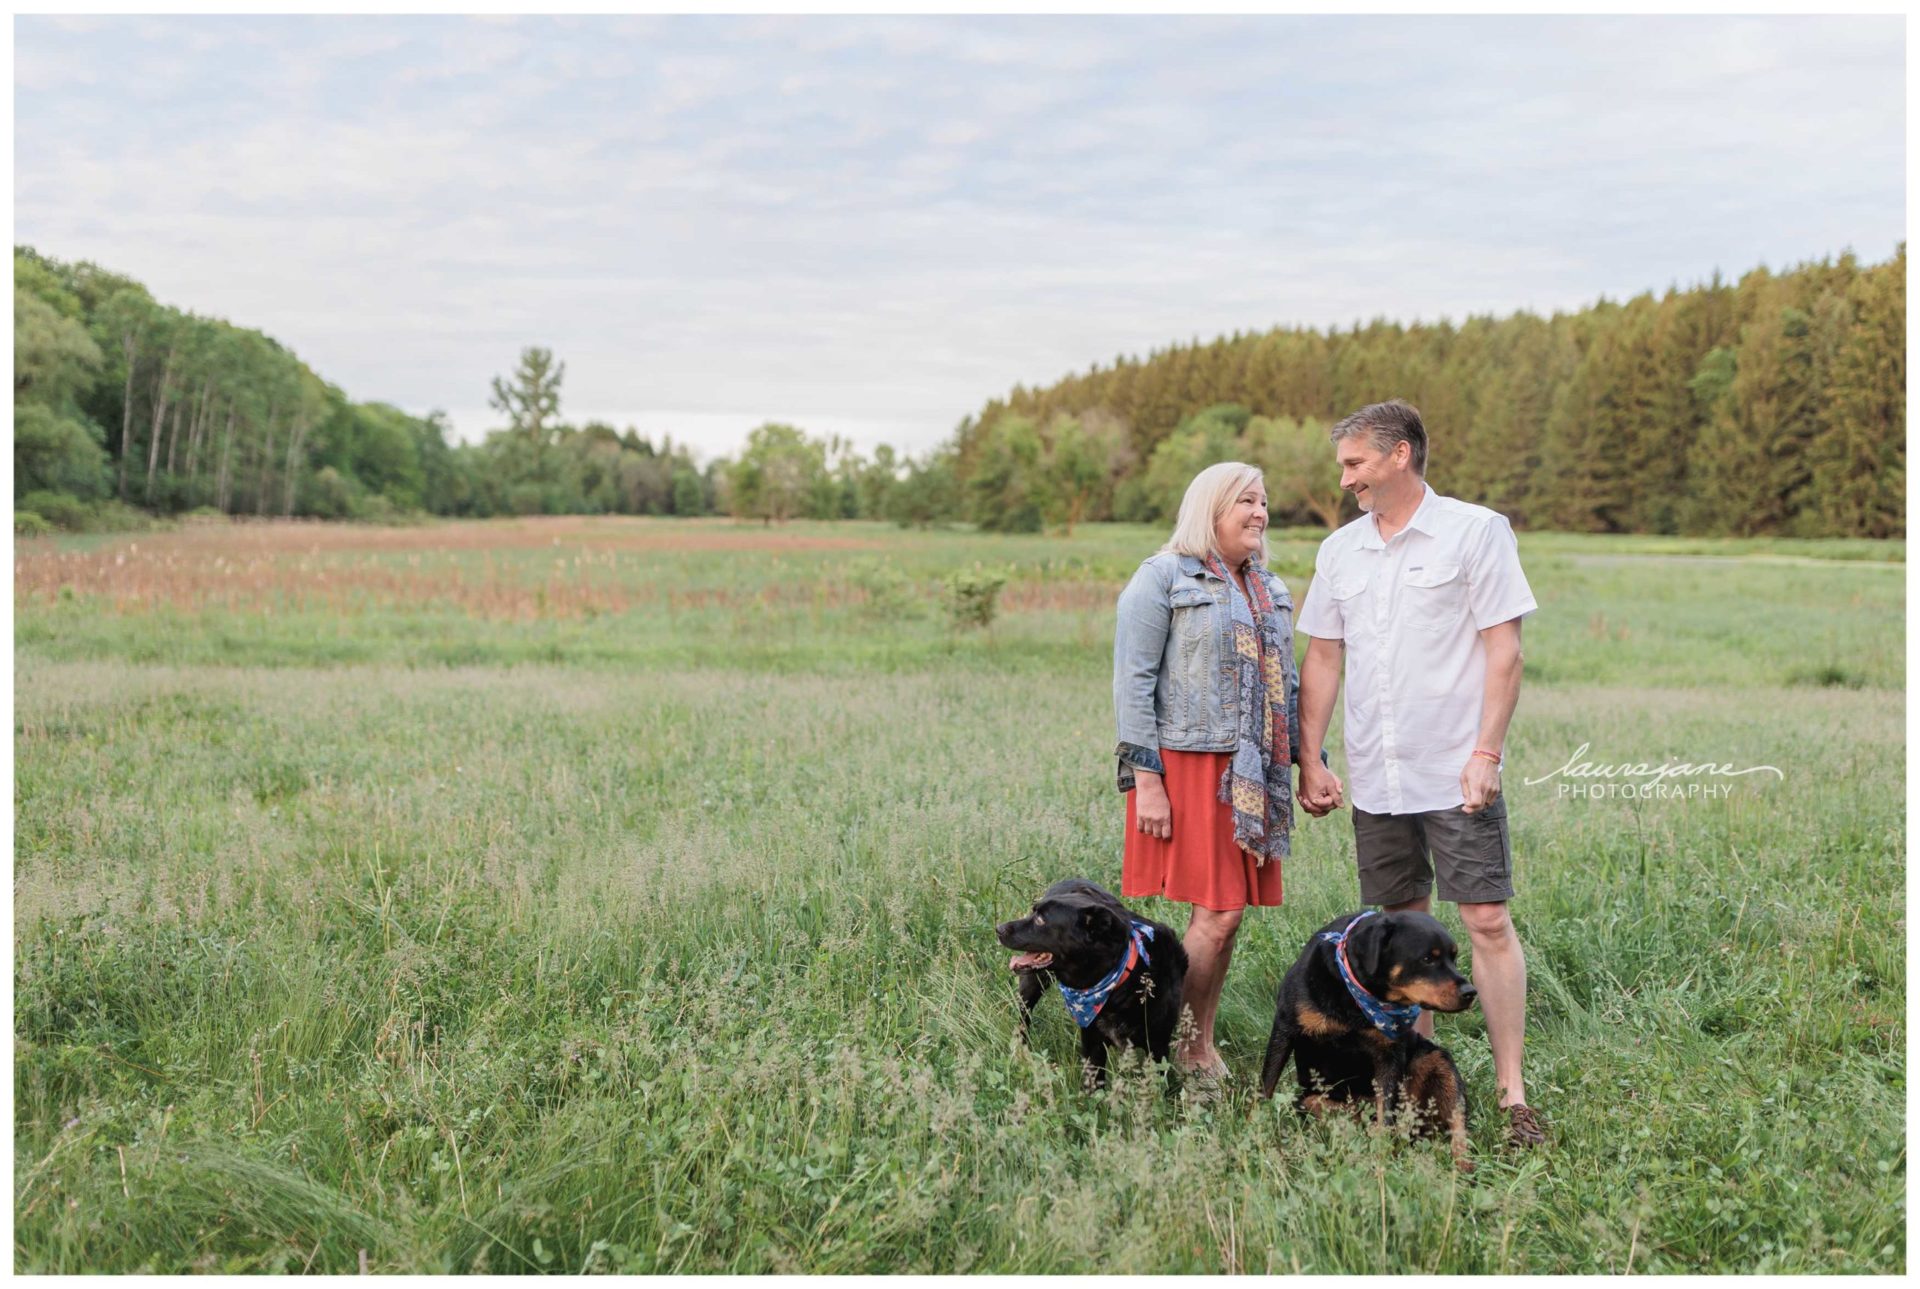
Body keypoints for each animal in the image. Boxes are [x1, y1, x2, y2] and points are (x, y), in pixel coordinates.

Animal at [1006, 875, 1182, 1091]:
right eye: (1034, 913)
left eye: (1040, 920)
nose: (999, 929)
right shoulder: (1092, 1038)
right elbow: (1094, 1084)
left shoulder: (1158, 1044)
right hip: (1032, 983)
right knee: (1023, 1019)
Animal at [1267, 906, 1474, 1167]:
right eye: (1427, 959)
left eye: (1454, 957)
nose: (1471, 992)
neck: (1357, 995)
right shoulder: (1284, 1028)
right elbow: (1266, 1084)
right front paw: (1255, 1121)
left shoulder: (1389, 1054)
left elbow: (1386, 1112)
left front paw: (1382, 1158)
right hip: (1312, 1100)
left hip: (1437, 1061)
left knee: (1457, 1123)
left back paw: (1463, 1164)